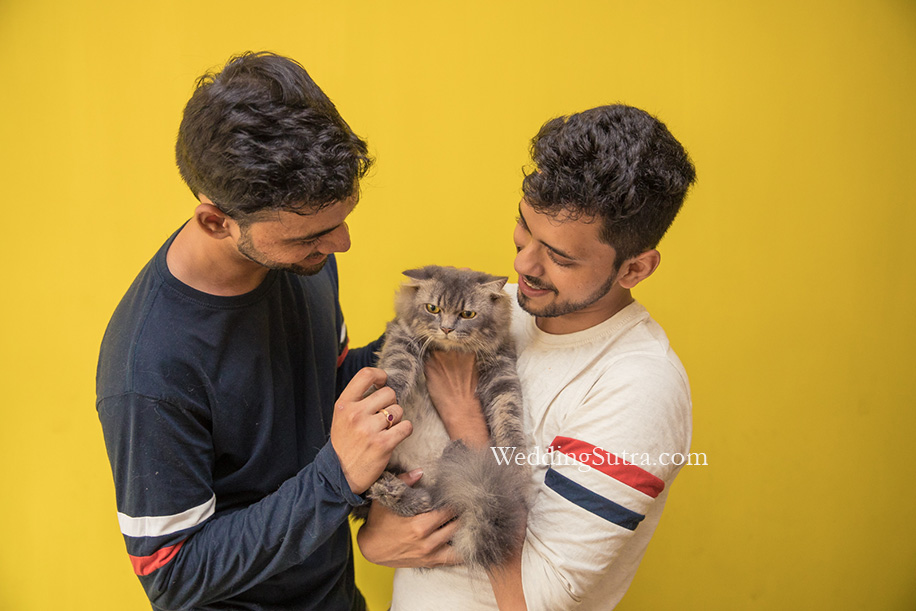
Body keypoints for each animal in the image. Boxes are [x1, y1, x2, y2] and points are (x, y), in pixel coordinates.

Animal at [354, 265, 529, 571]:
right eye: (432, 308)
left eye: (467, 314)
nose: (447, 328)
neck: (451, 351)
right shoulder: (402, 338)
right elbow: (397, 369)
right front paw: (388, 395)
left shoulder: (501, 369)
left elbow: (508, 415)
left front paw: (513, 457)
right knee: (385, 493)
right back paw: (403, 492)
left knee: (440, 502)